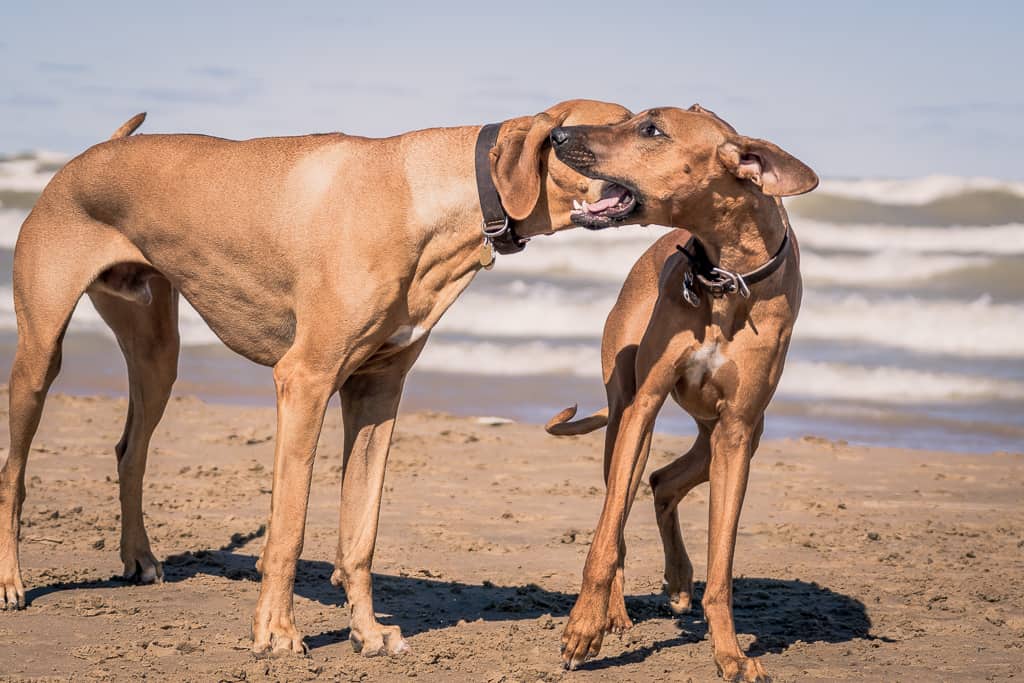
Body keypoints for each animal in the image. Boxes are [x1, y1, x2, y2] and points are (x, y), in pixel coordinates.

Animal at [0, 101, 638, 655]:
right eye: (621, 127)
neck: (427, 196)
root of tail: (88, 154)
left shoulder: (376, 394)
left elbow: (360, 534)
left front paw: (367, 632)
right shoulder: (304, 381)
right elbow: (288, 529)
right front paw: (276, 634)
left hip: (158, 355)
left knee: (130, 449)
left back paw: (139, 558)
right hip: (40, 354)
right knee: (15, 470)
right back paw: (12, 583)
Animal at [544, 104, 815, 679]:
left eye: (651, 129)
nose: (557, 134)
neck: (724, 278)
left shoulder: (736, 432)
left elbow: (723, 566)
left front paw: (731, 654)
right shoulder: (644, 405)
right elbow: (606, 538)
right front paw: (583, 627)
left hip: (730, 436)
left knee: (664, 480)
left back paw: (678, 580)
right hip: (624, 412)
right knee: (622, 506)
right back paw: (613, 612)